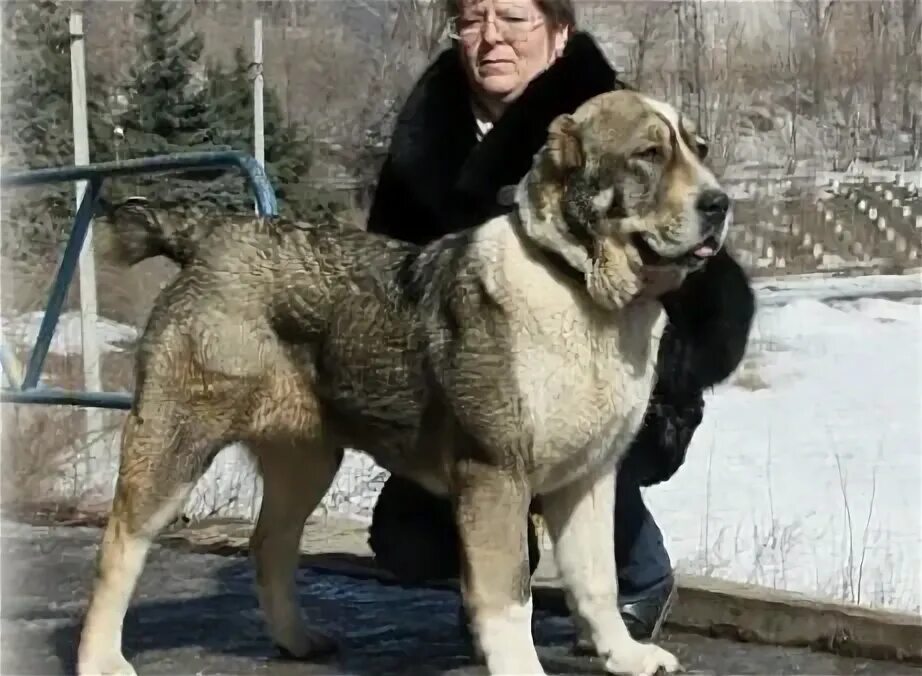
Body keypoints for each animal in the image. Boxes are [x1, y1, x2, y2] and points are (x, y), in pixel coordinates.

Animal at [77, 90, 724, 676]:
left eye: (699, 149)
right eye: (648, 155)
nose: (719, 203)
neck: (576, 285)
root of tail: (212, 233)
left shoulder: (589, 478)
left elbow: (596, 580)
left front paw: (625, 656)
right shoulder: (497, 476)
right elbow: (509, 597)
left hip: (307, 460)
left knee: (270, 546)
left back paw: (297, 641)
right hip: (175, 443)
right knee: (119, 546)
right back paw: (101, 659)